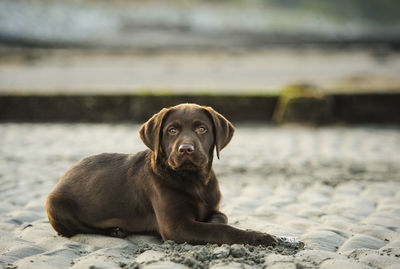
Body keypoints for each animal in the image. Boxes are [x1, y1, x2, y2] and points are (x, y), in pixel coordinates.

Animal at [44, 102, 276, 245]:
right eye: (172, 131)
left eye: (202, 129)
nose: (185, 149)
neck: (195, 181)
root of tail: (67, 172)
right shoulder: (176, 226)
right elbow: (221, 230)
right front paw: (260, 238)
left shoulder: (213, 207)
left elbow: (221, 218)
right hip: (54, 203)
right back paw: (114, 231)